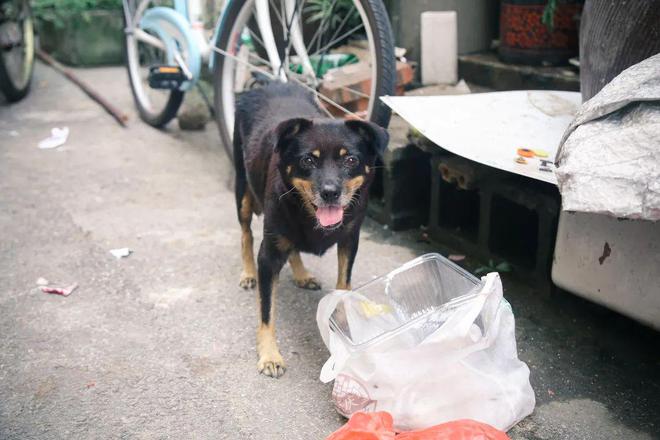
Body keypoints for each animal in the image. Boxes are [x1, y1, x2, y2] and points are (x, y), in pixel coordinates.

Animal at [233, 82, 390, 378]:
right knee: (246, 234)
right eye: (308, 160)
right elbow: (267, 311)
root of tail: (266, 83)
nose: (330, 192)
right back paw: (247, 273)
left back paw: (302, 274)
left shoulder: (350, 241)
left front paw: (343, 321)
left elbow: (344, 284)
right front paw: (269, 354)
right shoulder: (268, 256)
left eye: (350, 160)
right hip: (243, 191)